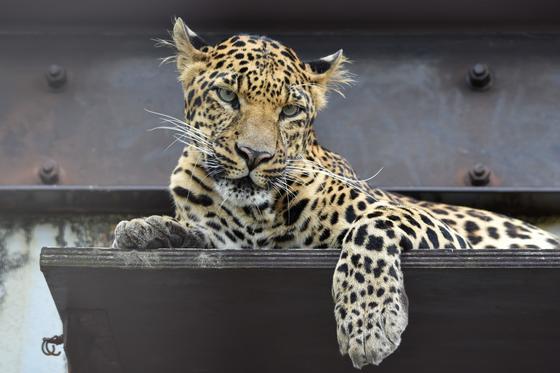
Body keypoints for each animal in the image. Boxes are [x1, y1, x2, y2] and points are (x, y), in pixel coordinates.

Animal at [112, 17, 560, 366]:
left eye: (290, 111)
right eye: (227, 95)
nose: (255, 155)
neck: (253, 216)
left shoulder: (438, 233)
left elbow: (374, 225)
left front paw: (369, 322)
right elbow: (198, 233)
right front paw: (145, 229)